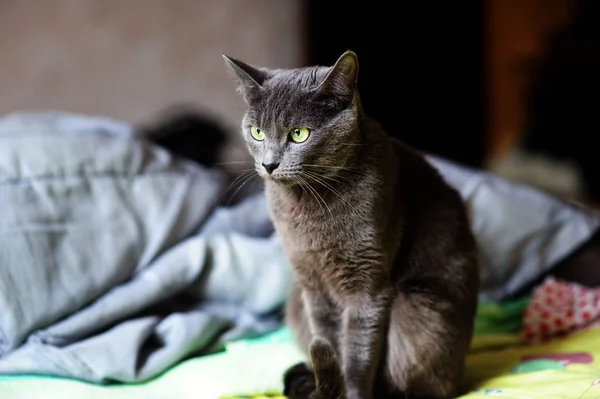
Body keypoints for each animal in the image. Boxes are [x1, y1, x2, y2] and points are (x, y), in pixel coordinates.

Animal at [223, 50, 480, 399]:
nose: (269, 163)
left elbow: (358, 351)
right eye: (257, 132)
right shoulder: (312, 285)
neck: (310, 205)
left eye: (299, 134)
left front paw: (351, 391)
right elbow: (328, 339)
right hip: (296, 300)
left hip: (417, 307)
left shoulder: (368, 283)